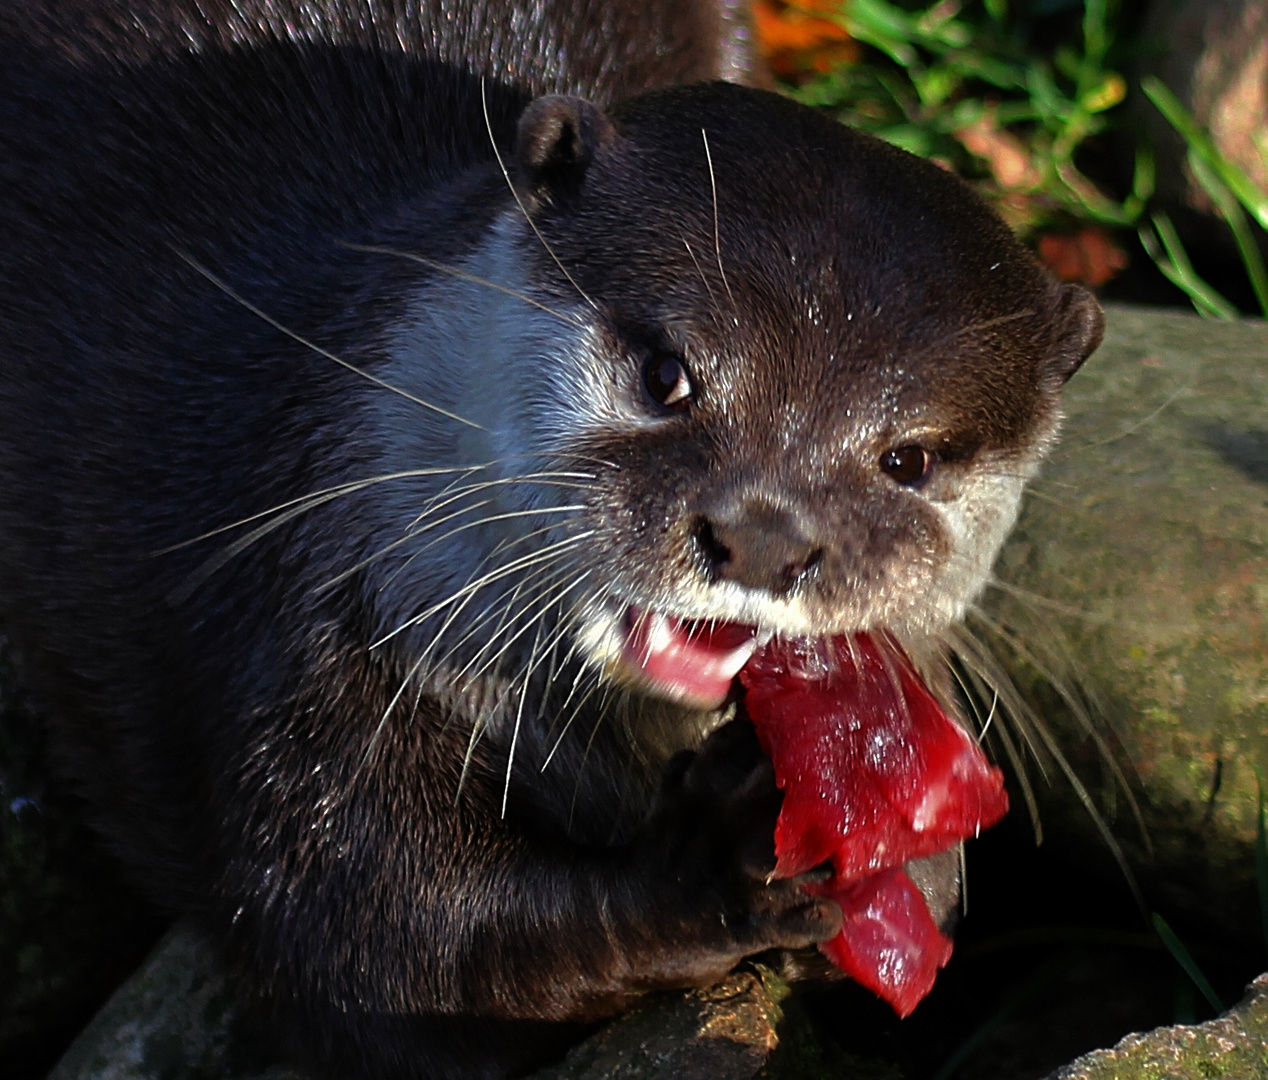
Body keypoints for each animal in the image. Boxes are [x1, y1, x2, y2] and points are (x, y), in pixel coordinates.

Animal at [0, 2, 1100, 1080]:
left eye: (908, 459)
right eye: (665, 372)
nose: (762, 537)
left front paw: (911, 859)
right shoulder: (292, 640)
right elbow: (385, 948)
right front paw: (714, 863)